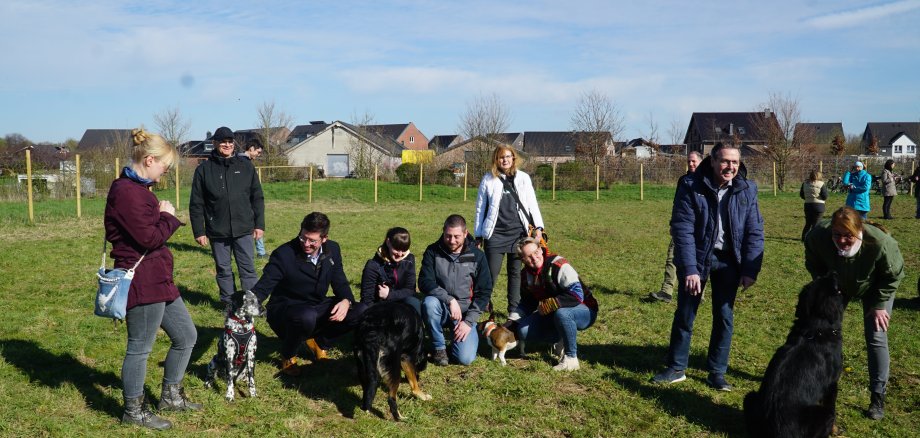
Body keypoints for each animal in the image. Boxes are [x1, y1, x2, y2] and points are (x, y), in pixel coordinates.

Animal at [744, 274, 844, 438]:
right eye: (836, 288)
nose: (834, 272)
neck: (815, 328)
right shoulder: (832, 384)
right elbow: (832, 405)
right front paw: (835, 429)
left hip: (750, 397)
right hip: (824, 415)